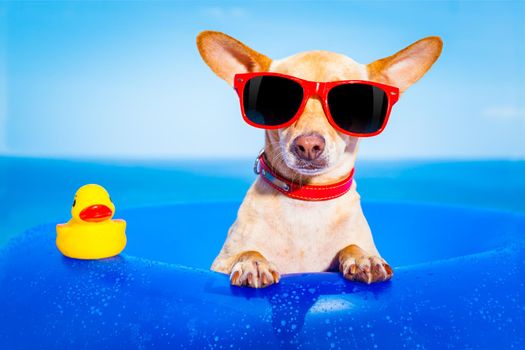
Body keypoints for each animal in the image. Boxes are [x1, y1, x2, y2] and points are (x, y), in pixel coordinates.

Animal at [196, 30, 442, 288]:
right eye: (278, 100)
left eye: (353, 104)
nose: (308, 146)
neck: (307, 199)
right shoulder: (220, 263)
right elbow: (246, 251)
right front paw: (253, 261)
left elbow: (352, 245)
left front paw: (363, 257)